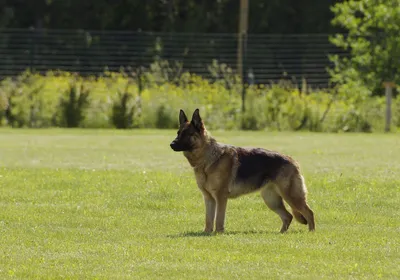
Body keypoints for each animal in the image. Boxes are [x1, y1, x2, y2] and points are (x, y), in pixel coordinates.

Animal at [170, 109, 316, 234]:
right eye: (178, 133)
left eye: (187, 134)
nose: (171, 144)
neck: (208, 158)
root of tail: (293, 160)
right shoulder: (208, 198)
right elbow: (209, 219)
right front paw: (206, 233)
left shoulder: (221, 197)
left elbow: (219, 218)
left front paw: (218, 233)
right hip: (271, 200)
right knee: (288, 216)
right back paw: (281, 233)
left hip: (291, 197)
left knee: (309, 213)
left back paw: (311, 233)